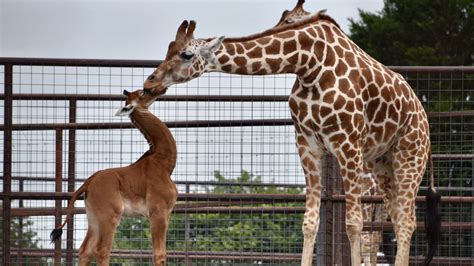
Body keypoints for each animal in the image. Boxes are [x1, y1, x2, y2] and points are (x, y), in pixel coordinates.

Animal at [50, 88, 178, 264]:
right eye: (143, 93)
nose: (162, 89)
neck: (163, 162)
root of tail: (88, 184)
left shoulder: (165, 213)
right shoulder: (158, 211)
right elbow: (159, 255)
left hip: (93, 218)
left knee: (85, 250)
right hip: (110, 217)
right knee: (102, 250)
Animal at [143, 13, 440, 266]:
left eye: (186, 54)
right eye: (168, 49)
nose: (150, 82)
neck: (309, 63)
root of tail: (423, 117)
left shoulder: (348, 145)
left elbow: (354, 224)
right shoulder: (307, 144)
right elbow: (310, 222)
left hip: (409, 156)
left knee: (406, 222)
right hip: (382, 165)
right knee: (399, 218)